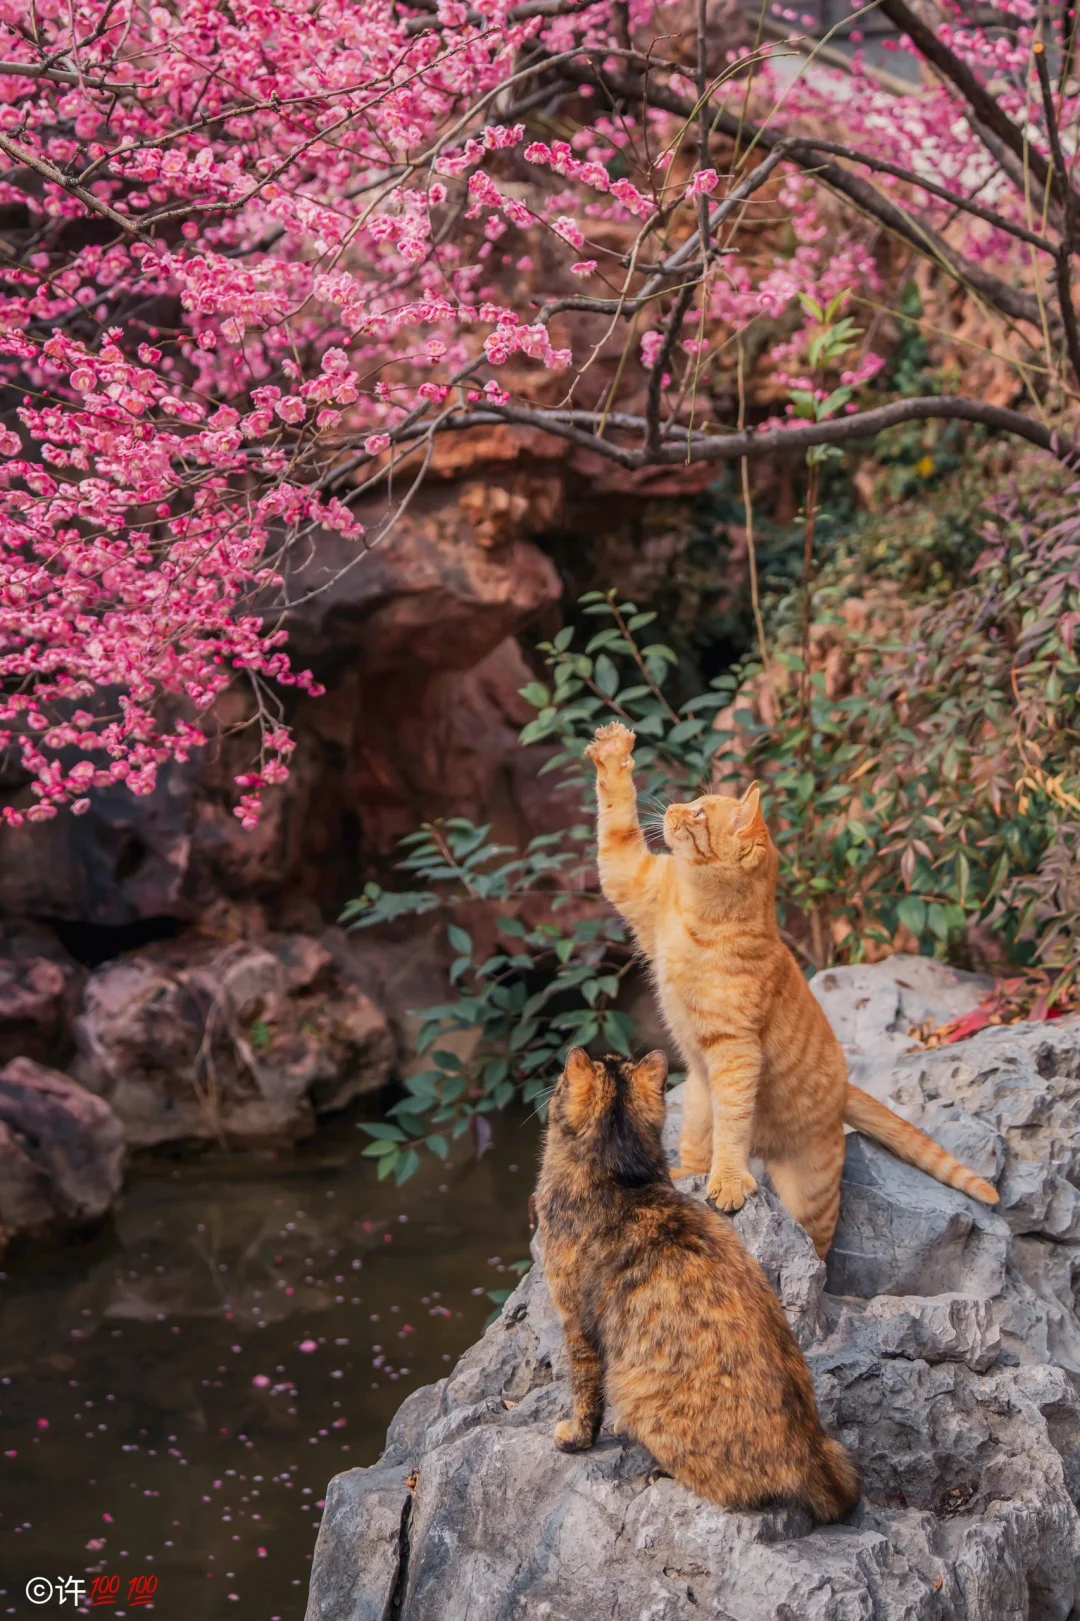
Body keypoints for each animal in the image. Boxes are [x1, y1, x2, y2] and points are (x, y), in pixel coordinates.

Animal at [535, 1050, 856, 1517]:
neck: (621, 1174)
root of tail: (810, 1452)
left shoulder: (575, 1321)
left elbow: (584, 1390)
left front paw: (576, 1438)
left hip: (635, 1387)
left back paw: (660, 1469)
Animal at [583, 716, 998, 1257]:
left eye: (698, 812)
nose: (672, 808)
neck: (695, 908)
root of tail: (845, 1090)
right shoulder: (630, 876)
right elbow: (616, 817)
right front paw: (613, 749)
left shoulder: (736, 1050)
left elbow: (734, 1123)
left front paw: (730, 1181)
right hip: (695, 1101)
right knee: (695, 1150)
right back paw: (682, 1173)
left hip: (810, 1193)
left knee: (817, 1247)